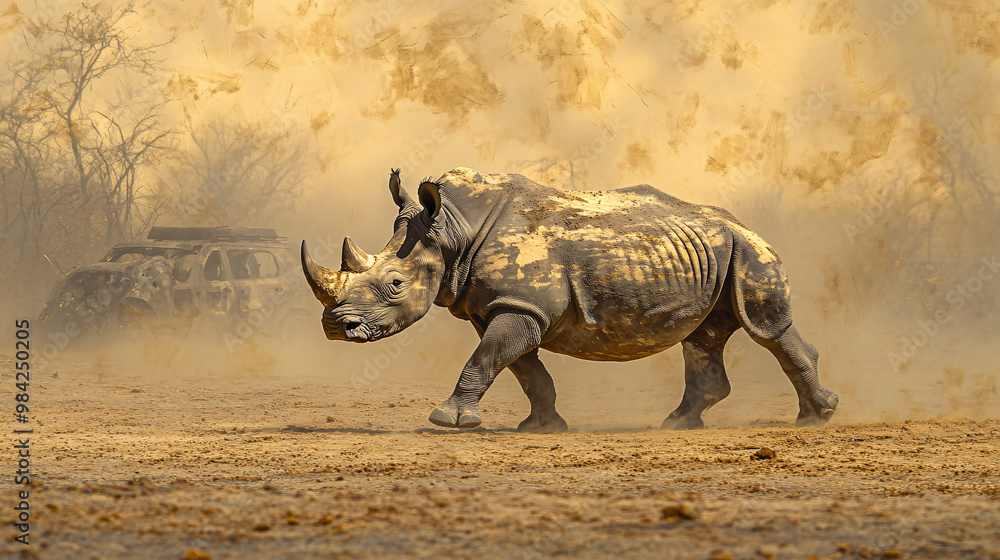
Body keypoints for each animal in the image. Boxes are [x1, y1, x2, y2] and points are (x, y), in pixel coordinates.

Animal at [301, 167, 838, 432]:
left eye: (394, 285)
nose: (335, 327)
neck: (453, 229)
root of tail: (740, 222)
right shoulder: (506, 306)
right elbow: (519, 367)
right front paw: (541, 427)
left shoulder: (519, 305)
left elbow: (486, 359)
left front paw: (447, 421)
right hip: (709, 253)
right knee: (704, 336)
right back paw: (677, 425)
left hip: (749, 249)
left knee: (766, 327)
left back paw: (818, 418)